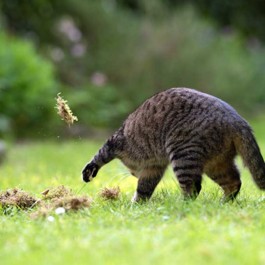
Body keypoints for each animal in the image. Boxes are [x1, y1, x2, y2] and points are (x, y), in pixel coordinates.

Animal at [81, 87, 262, 201]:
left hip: (183, 155)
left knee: (193, 188)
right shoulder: (154, 168)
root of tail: (237, 120)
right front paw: (137, 206)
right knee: (234, 182)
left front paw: (89, 171)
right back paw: (223, 203)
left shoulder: (115, 143)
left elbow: (99, 156)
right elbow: (144, 189)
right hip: (216, 164)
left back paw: (182, 205)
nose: (133, 174)